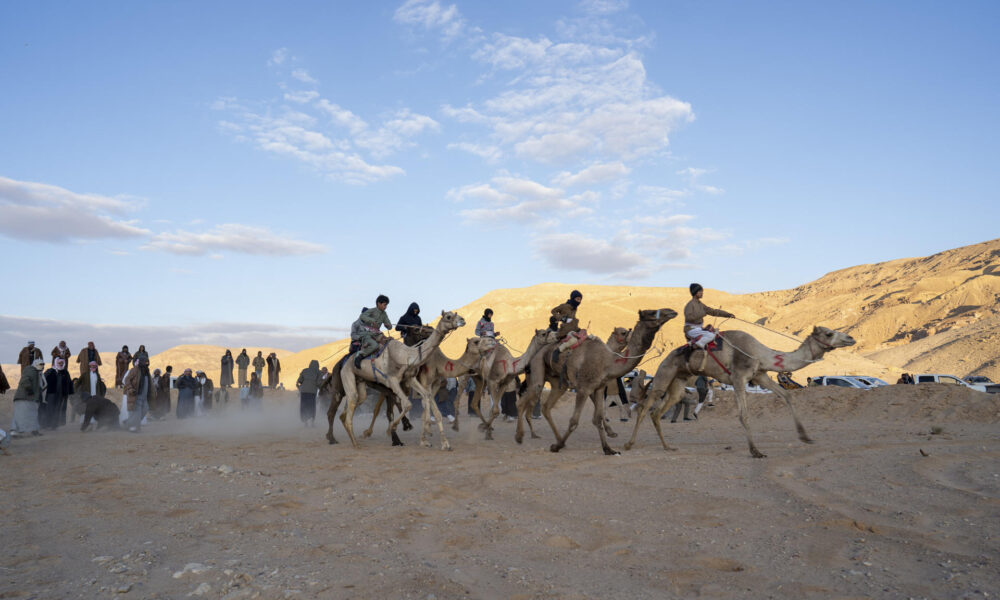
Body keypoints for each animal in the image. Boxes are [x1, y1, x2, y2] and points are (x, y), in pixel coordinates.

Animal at [340, 310, 464, 450]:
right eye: (448, 317)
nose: (462, 320)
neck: (406, 355)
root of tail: (346, 362)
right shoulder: (392, 381)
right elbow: (407, 404)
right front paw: (393, 429)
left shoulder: (410, 379)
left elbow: (426, 396)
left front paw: (429, 434)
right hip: (347, 375)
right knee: (352, 403)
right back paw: (356, 442)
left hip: (360, 382)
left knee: (357, 402)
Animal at [516, 310, 680, 454]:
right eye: (623, 332)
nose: (672, 312)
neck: (607, 360)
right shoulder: (584, 388)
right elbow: (576, 420)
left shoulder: (599, 387)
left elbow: (598, 417)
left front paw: (608, 447)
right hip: (537, 372)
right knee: (523, 400)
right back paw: (520, 437)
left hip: (558, 382)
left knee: (546, 406)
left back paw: (556, 439)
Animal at [620, 326, 856, 458]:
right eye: (829, 333)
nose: (850, 339)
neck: (761, 354)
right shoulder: (738, 377)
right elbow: (743, 414)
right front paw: (756, 451)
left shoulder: (759, 376)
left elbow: (787, 395)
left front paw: (805, 437)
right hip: (664, 374)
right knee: (645, 406)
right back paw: (629, 444)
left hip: (678, 382)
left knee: (658, 411)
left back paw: (668, 447)